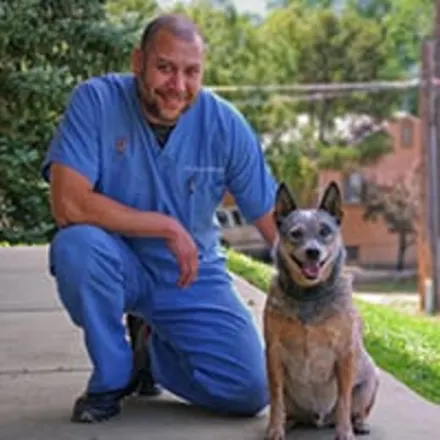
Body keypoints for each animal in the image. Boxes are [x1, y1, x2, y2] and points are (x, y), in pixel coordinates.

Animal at [262, 180, 380, 438]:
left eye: (325, 231)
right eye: (296, 233)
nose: (313, 252)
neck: (309, 296)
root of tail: (318, 419)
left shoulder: (345, 352)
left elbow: (344, 400)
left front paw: (345, 432)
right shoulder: (273, 351)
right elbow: (275, 397)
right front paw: (275, 428)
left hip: (371, 381)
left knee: (357, 409)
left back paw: (359, 424)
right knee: (287, 407)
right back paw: (289, 421)